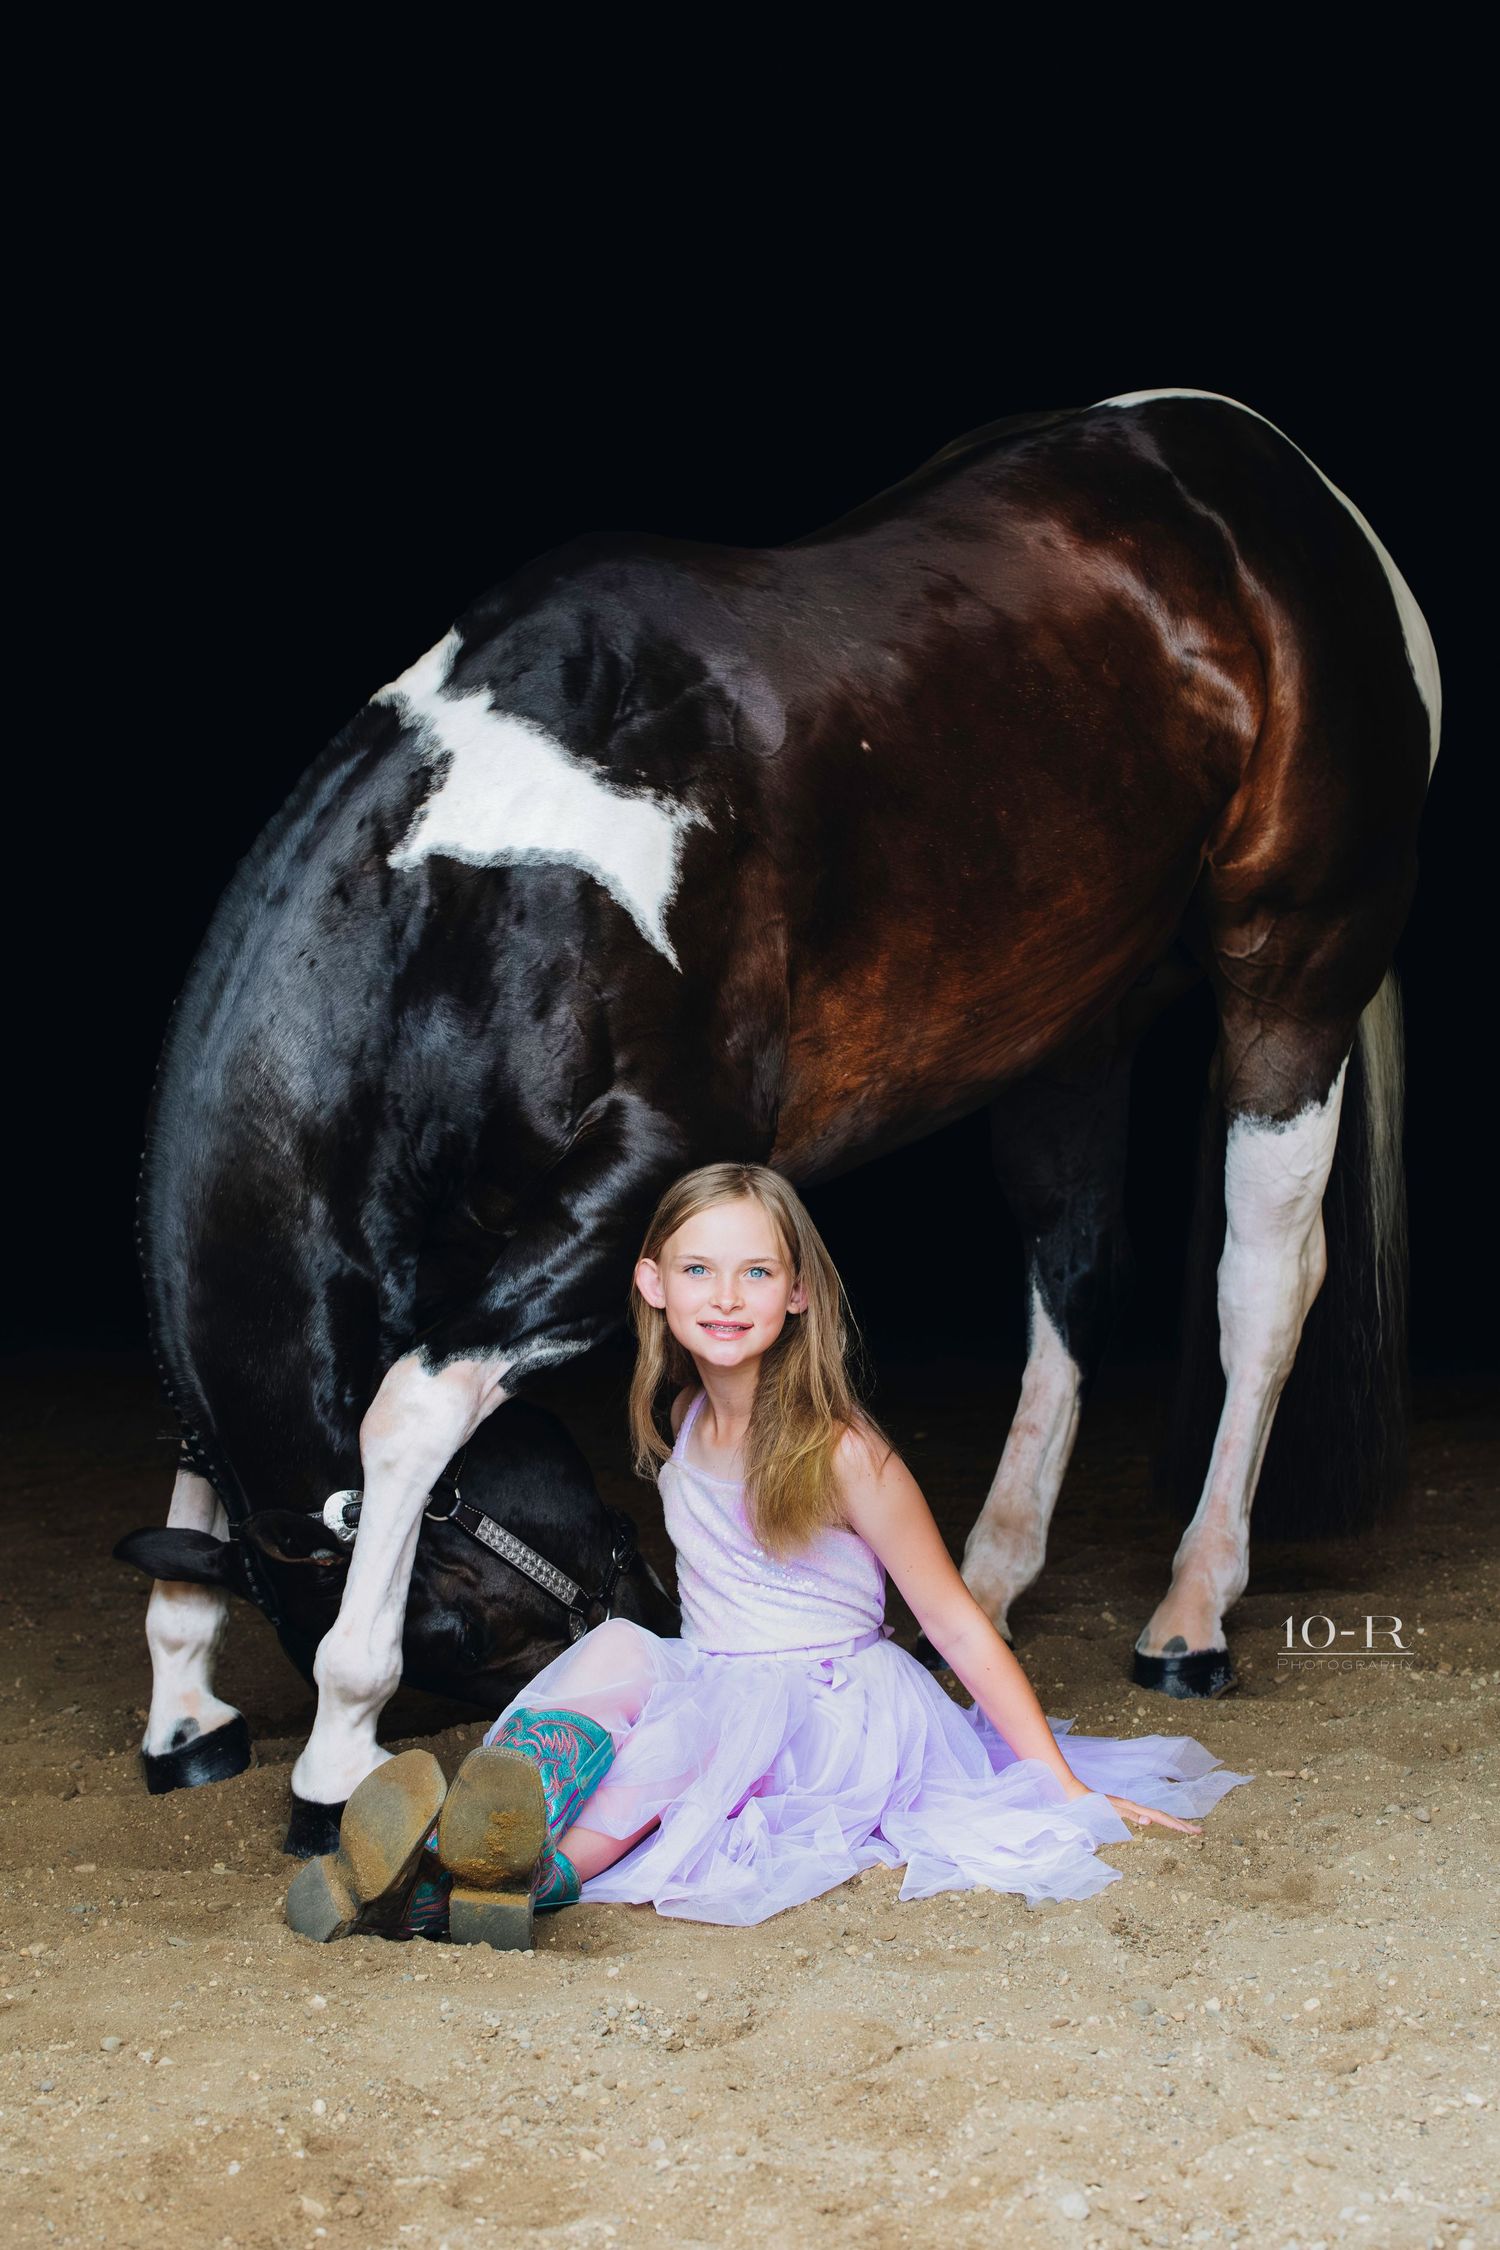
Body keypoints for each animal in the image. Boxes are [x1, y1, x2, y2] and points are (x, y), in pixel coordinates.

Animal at [125, 387, 1438, 1855]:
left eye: (452, 1627)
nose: (654, 1624)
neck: (496, 886)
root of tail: (1278, 478)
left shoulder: (658, 1163)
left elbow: (408, 1410)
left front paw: (335, 1755)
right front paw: (186, 1710)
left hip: (1294, 971)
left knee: (1263, 1285)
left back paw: (1192, 1615)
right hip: (1070, 1026)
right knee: (1077, 1274)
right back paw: (978, 1587)